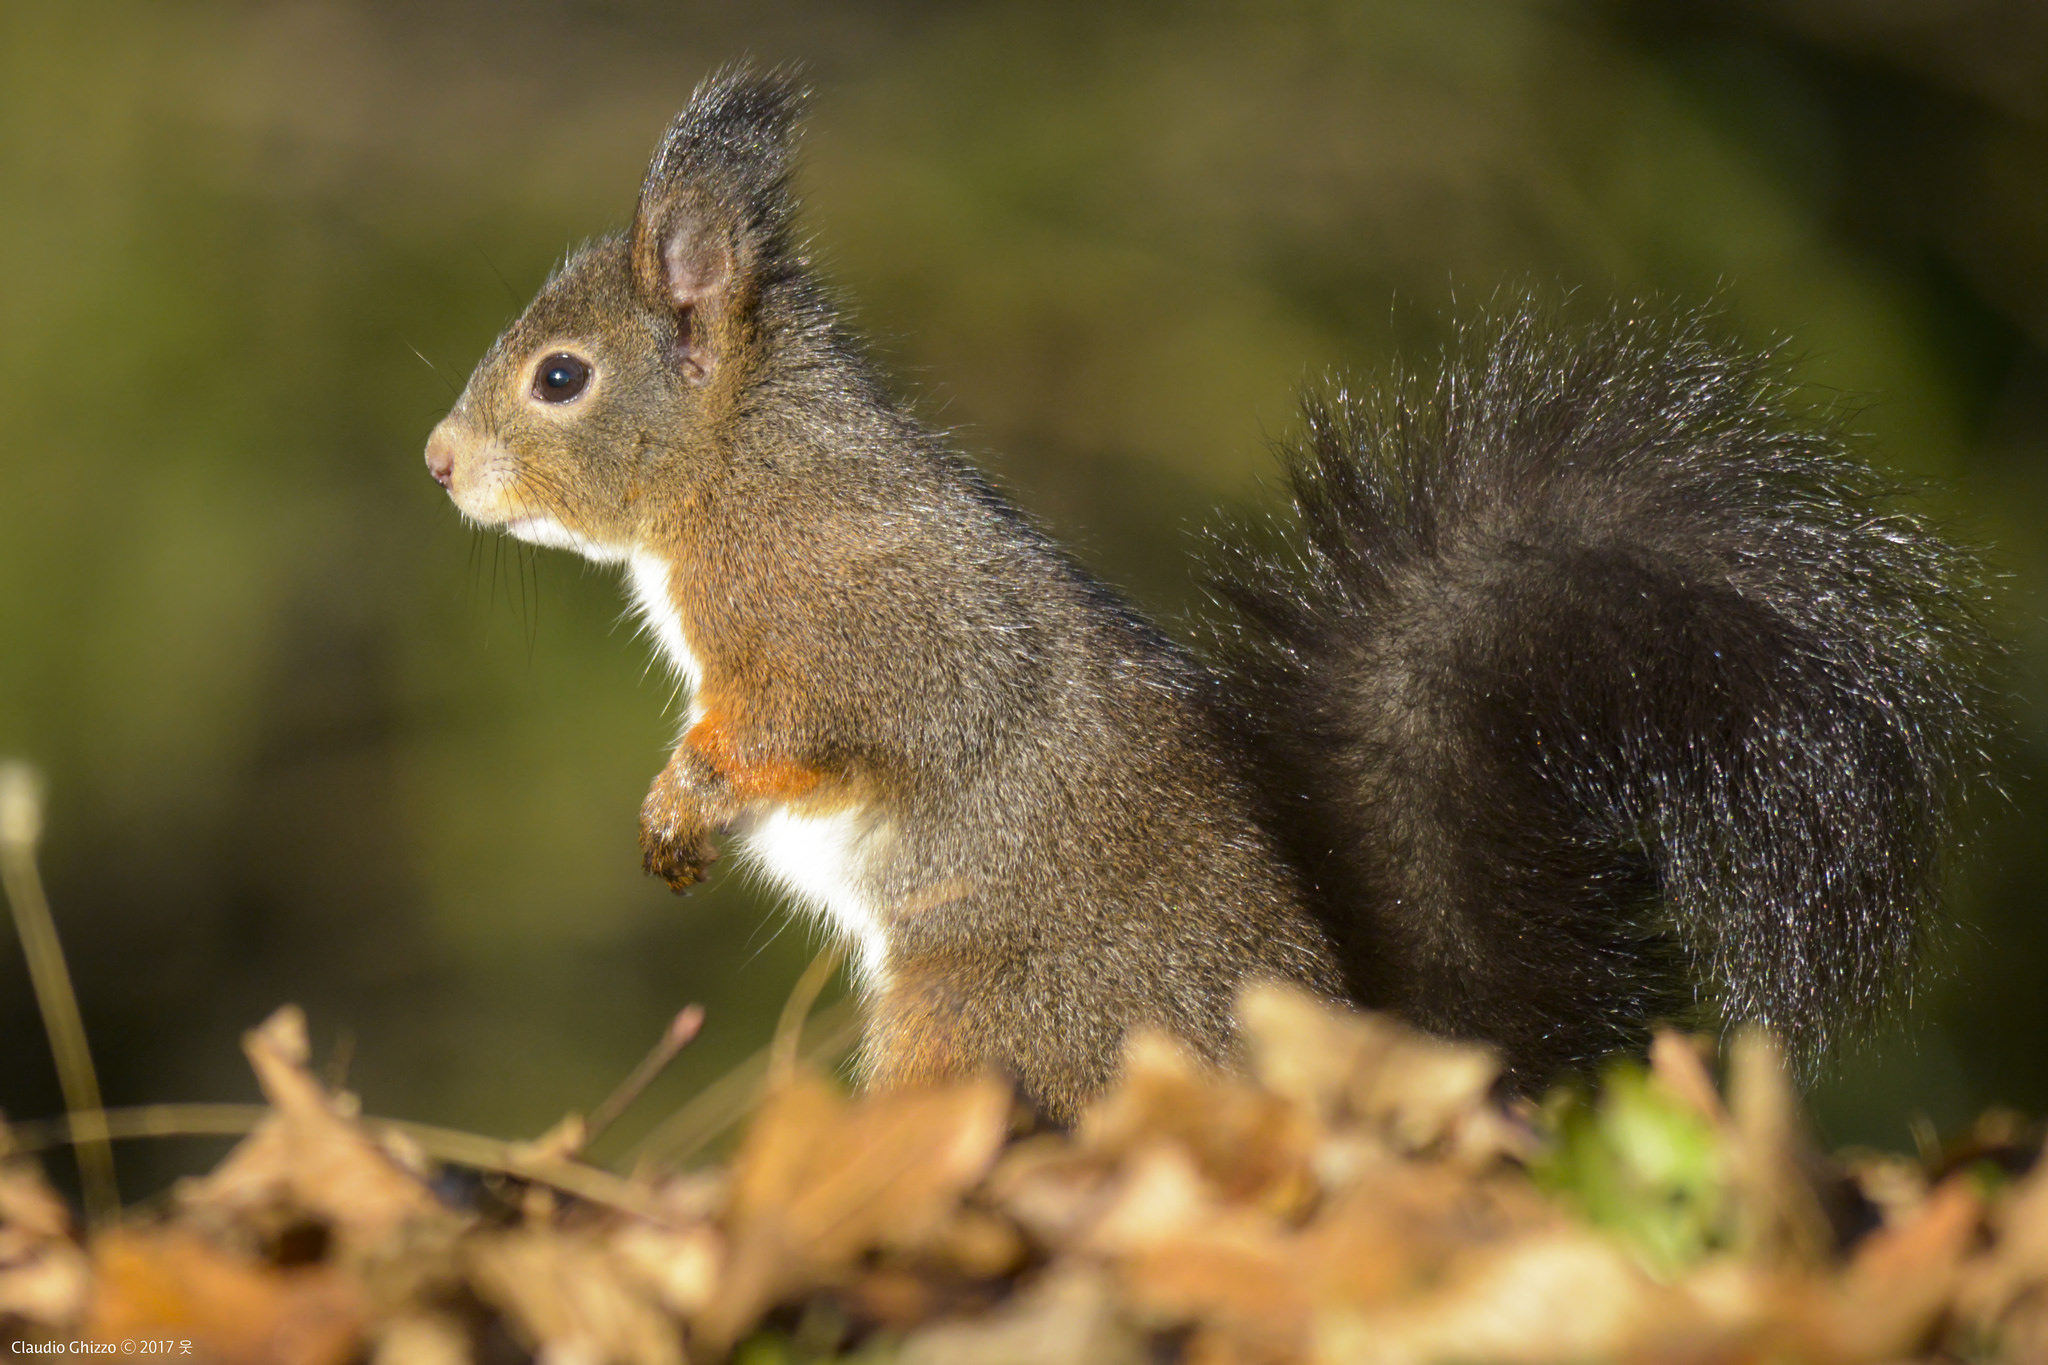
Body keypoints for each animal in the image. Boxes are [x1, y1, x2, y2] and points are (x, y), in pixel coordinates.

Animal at [423, 66, 1992, 1121]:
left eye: (559, 377)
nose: (438, 462)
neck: (729, 475)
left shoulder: (841, 605)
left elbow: (845, 717)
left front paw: (686, 793)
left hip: (979, 1012)